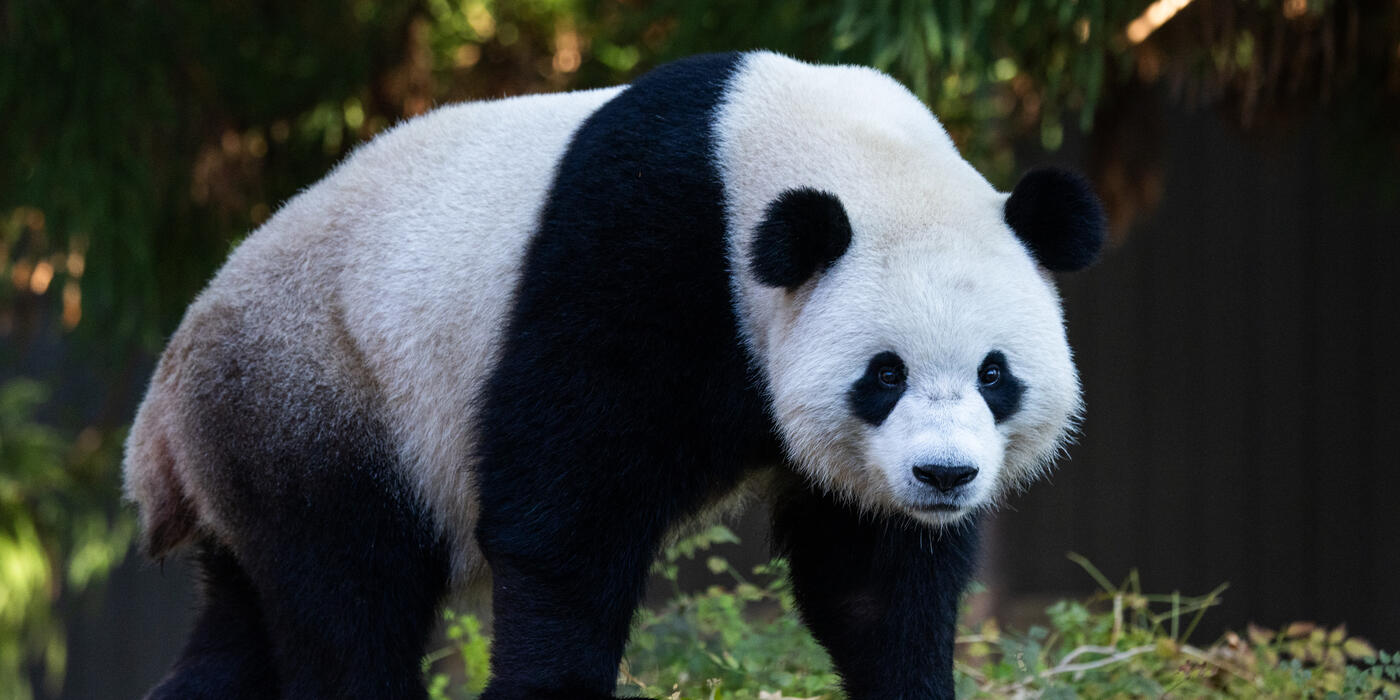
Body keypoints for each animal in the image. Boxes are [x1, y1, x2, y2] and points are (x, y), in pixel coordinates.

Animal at [125, 51, 1104, 700]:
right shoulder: (639, 249)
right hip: (318, 391)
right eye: (885, 375)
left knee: (244, 621)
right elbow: (564, 512)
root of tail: (163, 411)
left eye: (994, 375)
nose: (944, 475)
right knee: (348, 596)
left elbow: (871, 576)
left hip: (258, 434)